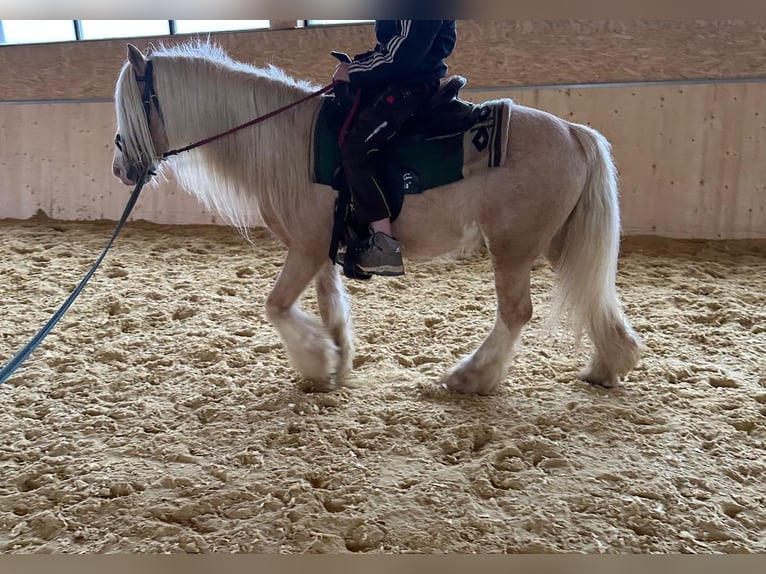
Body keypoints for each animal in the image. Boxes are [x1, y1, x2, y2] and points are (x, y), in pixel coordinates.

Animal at [111, 42, 644, 396]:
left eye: (133, 107)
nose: (121, 169)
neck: (288, 143)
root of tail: (573, 131)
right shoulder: (318, 249)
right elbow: (329, 306)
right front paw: (336, 362)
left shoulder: (306, 247)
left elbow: (277, 307)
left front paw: (315, 361)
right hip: (555, 240)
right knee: (592, 293)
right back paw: (609, 365)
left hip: (513, 247)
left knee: (516, 313)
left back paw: (471, 377)